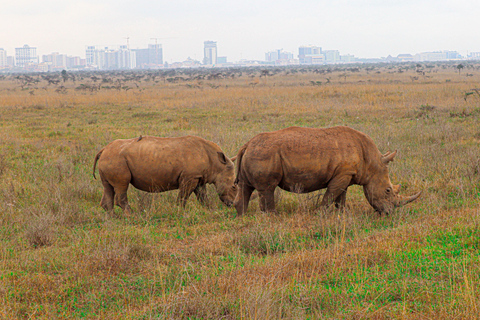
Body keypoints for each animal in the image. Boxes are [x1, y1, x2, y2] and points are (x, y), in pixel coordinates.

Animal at [93, 134, 237, 212]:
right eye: (234, 186)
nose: (232, 204)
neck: (217, 162)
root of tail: (103, 149)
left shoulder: (198, 178)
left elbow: (203, 197)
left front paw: (211, 210)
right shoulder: (190, 177)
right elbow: (183, 197)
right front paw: (180, 212)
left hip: (111, 158)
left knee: (108, 187)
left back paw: (113, 219)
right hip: (116, 159)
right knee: (121, 186)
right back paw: (132, 216)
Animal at [234, 125, 422, 215]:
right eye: (388, 190)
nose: (389, 213)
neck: (372, 162)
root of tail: (246, 144)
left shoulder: (346, 174)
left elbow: (341, 197)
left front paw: (342, 214)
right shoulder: (343, 174)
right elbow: (330, 195)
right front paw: (321, 215)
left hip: (256, 152)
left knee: (245, 187)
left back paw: (243, 216)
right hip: (265, 154)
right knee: (267, 188)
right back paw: (272, 217)